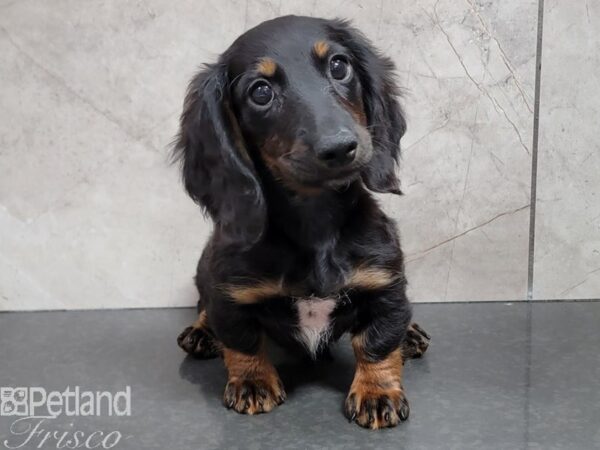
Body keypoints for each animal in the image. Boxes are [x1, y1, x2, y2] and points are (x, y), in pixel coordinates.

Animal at [173, 14, 432, 428]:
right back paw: (201, 332)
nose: (340, 147)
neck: (315, 223)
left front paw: (377, 392)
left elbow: (377, 342)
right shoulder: (229, 293)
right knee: (203, 307)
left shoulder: (385, 283)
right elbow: (242, 340)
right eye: (260, 92)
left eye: (340, 66)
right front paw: (252, 383)